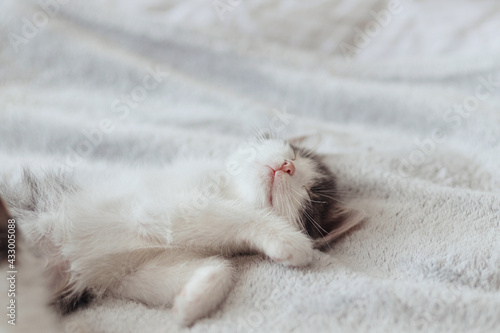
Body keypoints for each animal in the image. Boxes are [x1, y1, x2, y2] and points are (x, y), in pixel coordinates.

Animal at [2, 137, 364, 324]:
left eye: (311, 196)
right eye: (294, 153)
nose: (287, 166)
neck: (230, 191)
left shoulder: (123, 272)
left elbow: (216, 266)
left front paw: (192, 302)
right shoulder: (155, 207)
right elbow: (238, 216)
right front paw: (291, 242)